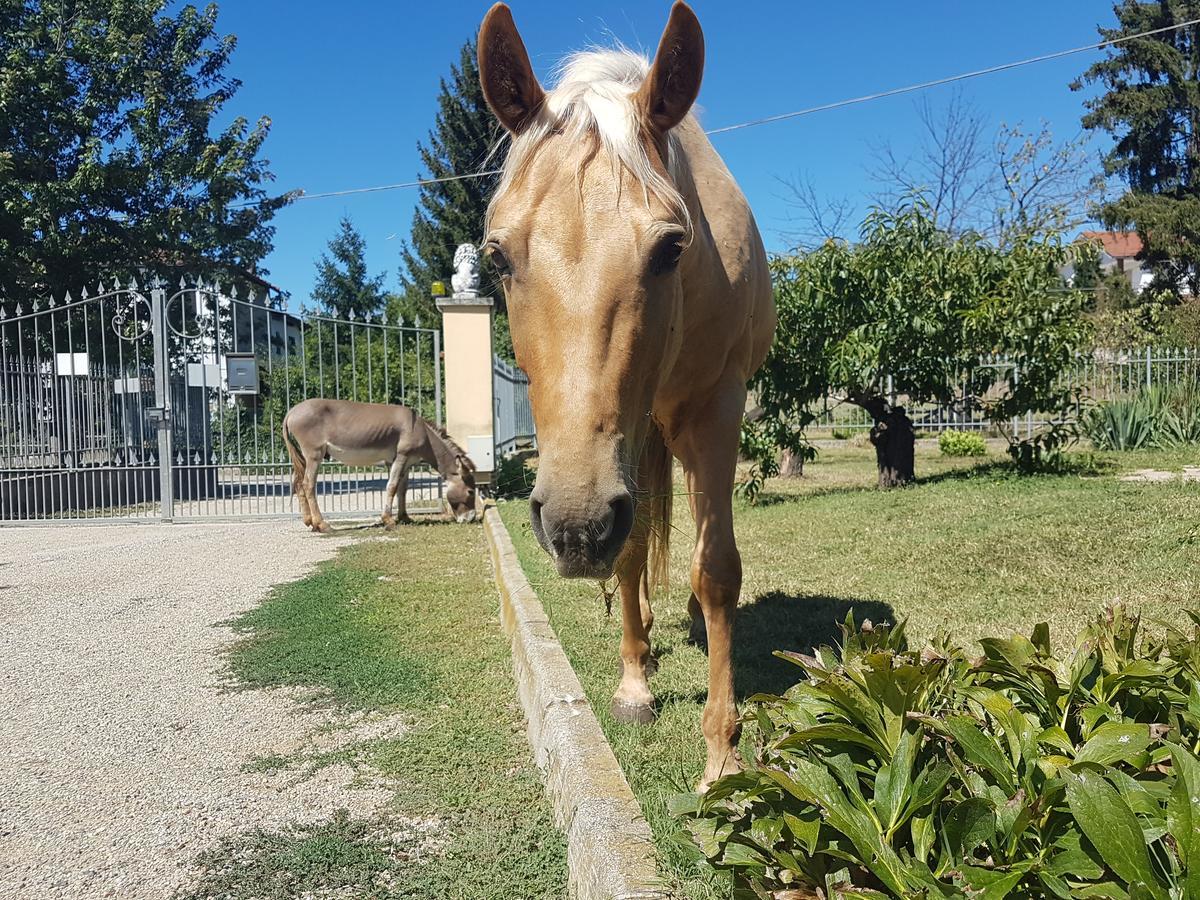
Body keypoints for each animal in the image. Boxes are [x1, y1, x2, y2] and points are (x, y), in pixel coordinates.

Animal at [284, 398, 477, 532]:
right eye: (471, 491)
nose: (471, 519)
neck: (422, 433)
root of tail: (291, 412)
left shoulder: (404, 462)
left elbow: (402, 489)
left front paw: (404, 517)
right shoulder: (401, 457)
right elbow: (392, 486)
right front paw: (389, 521)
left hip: (303, 457)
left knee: (298, 484)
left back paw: (310, 522)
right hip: (314, 455)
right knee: (308, 485)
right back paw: (323, 525)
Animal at [477, 1, 777, 787]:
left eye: (670, 247)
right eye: (498, 257)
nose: (574, 528)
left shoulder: (716, 408)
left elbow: (716, 570)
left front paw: (723, 754)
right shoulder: (628, 441)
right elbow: (635, 548)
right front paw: (636, 683)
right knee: (637, 545)